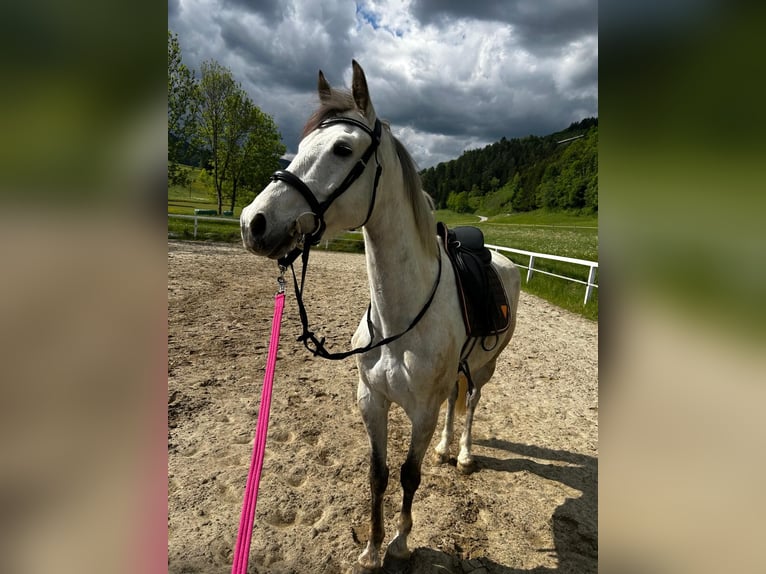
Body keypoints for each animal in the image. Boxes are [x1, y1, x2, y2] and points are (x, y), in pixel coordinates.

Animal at [240, 60, 520, 573]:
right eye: (300, 146)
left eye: (342, 148)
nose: (254, 222)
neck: (397, 323)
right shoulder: (371, 400)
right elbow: (379, 474)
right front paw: (371, 548)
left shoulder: (421, 410)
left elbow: (408, 475)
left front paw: (401, 543)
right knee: (457, 398)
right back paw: (446, 450)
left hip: (488, 365)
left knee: (470, 403)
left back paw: (463, 454)